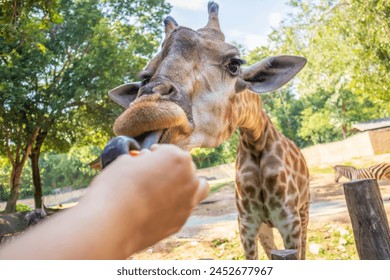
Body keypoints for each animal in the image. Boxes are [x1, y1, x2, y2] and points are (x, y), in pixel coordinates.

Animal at [109, 1, 310, 260]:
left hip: (304, 211)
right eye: (145, 77)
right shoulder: (247, 223)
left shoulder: (289, 220)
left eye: (234, 64)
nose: (141, 113)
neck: (256, 143)